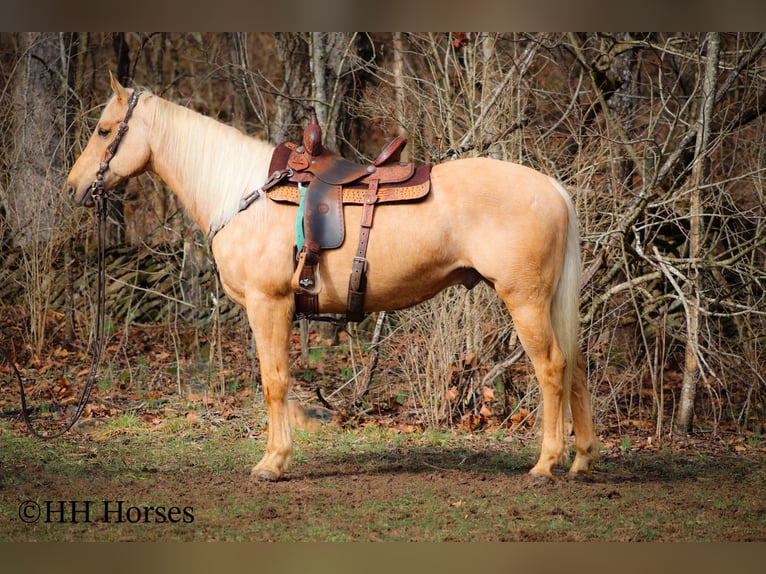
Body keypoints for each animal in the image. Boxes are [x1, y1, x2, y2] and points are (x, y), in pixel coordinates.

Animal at [64, 74, 600, 484]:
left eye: (104, 130)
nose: (74, 188)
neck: (242, 194)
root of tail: (552, 188)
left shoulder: (269, 304)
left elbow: (274, 381)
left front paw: (273, 462)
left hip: (525, 300)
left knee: (552, 367)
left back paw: (546, 464)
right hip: (549, 302)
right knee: (575, 365)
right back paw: (581, 462)